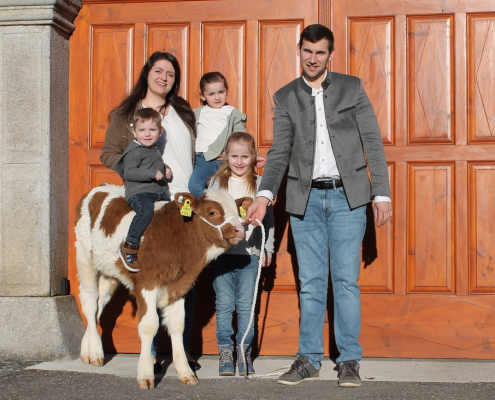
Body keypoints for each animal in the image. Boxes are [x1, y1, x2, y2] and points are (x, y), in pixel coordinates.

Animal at [74, 185, 248, 390]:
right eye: (213, 212)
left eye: (238, 212)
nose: (240, 230)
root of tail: (99, 188)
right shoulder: (147, 282)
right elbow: (149, 325)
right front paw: (145, 374)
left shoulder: (178, 285)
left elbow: (178, 325)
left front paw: (185, 371)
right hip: (84, 257)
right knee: (90, 301)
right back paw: (95, 353)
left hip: (109, 269)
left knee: (101, 302)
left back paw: (87, 350)